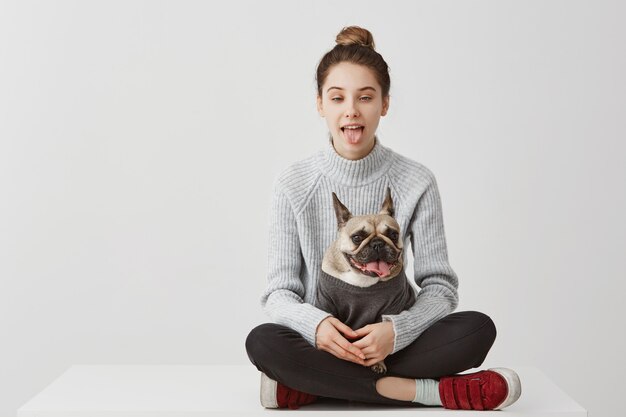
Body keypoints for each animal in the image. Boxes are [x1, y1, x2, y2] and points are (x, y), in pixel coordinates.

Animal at [316, 187, 414, 372]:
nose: (377, 243)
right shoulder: (326, 301)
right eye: (357, 237)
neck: (362, 279)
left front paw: (378, 363)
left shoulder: (391, 307)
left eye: (393, 234)